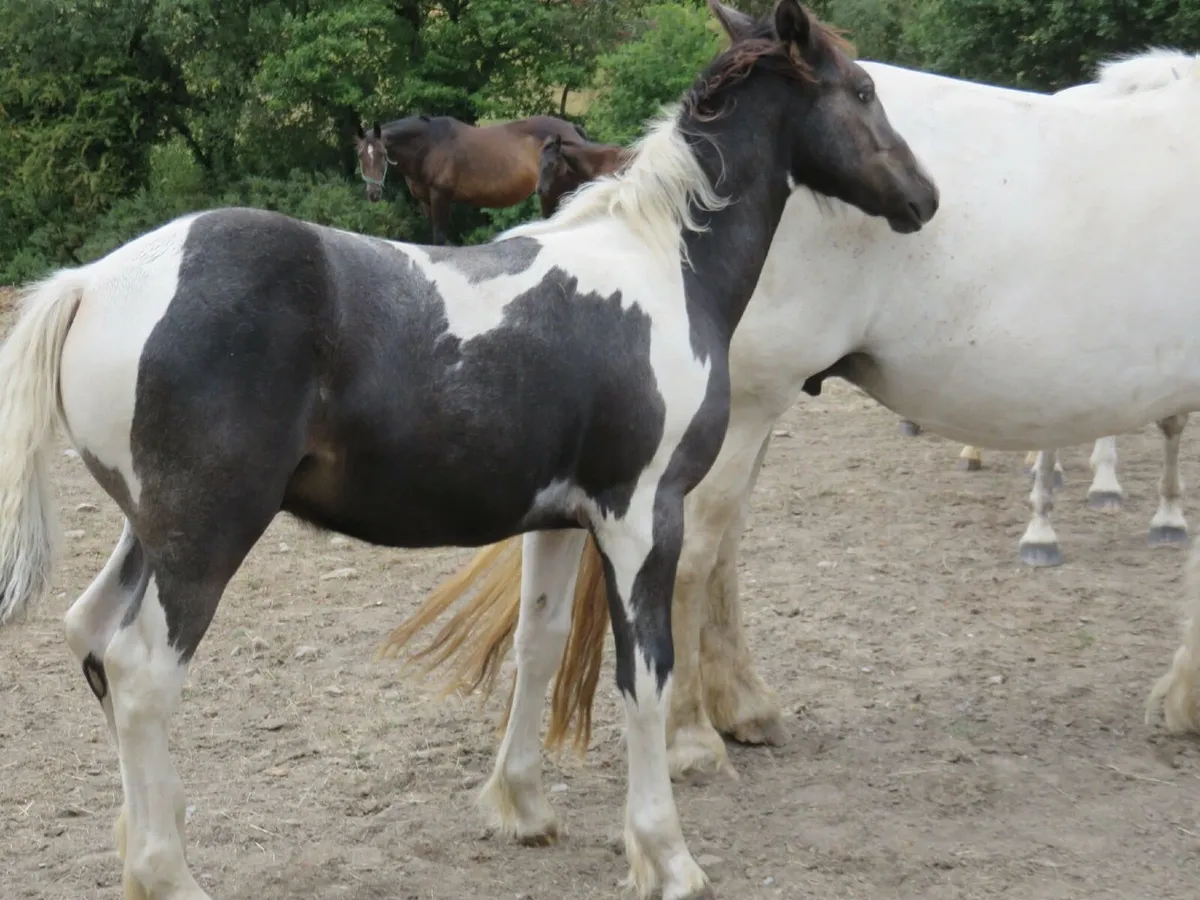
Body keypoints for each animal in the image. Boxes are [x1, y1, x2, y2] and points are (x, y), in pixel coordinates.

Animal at [355, 113, 589, 245]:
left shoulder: (440, 197)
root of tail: (572, 129)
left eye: (382, 154)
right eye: (360, 154)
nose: (373, 193)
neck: (430, 145)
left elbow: (440, 237)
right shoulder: (425, 201)